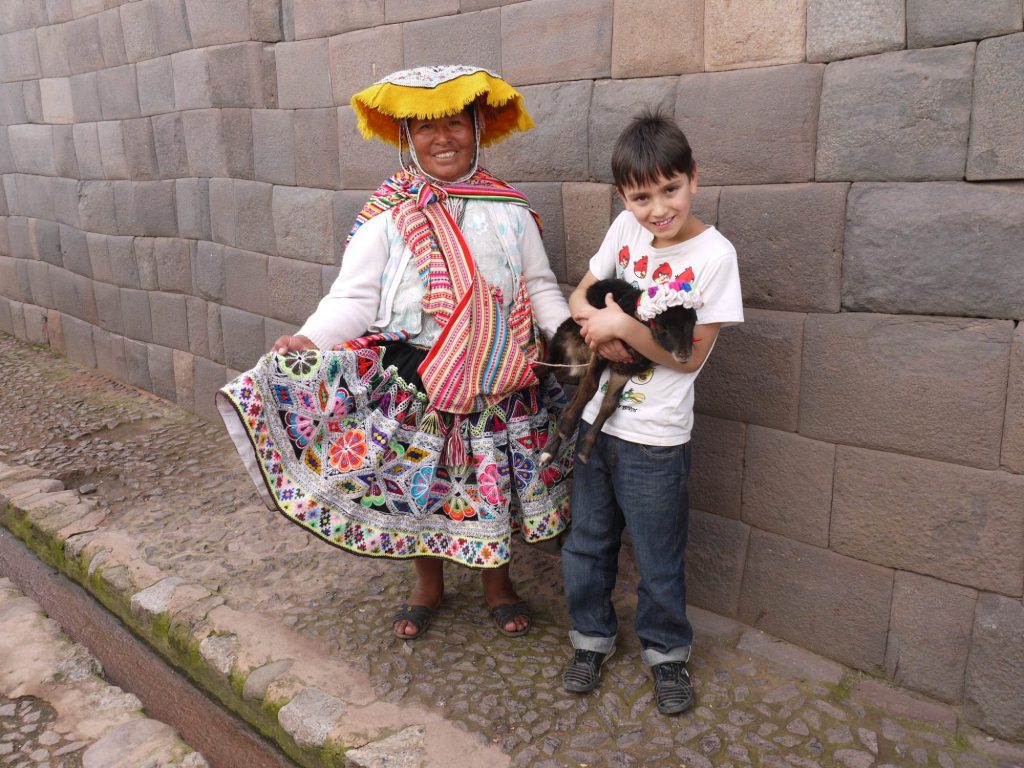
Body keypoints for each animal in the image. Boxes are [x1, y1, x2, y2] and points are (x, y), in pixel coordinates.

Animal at [540, 280, 700, 466]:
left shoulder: (623, 370)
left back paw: (550, 450)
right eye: (661, 326)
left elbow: (609, 404)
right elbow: (590, 388)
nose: (685, 354)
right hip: (561, 347)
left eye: (693, 322)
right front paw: (566, 430)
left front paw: (586, 449)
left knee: (572, 401)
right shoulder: (601, 350)